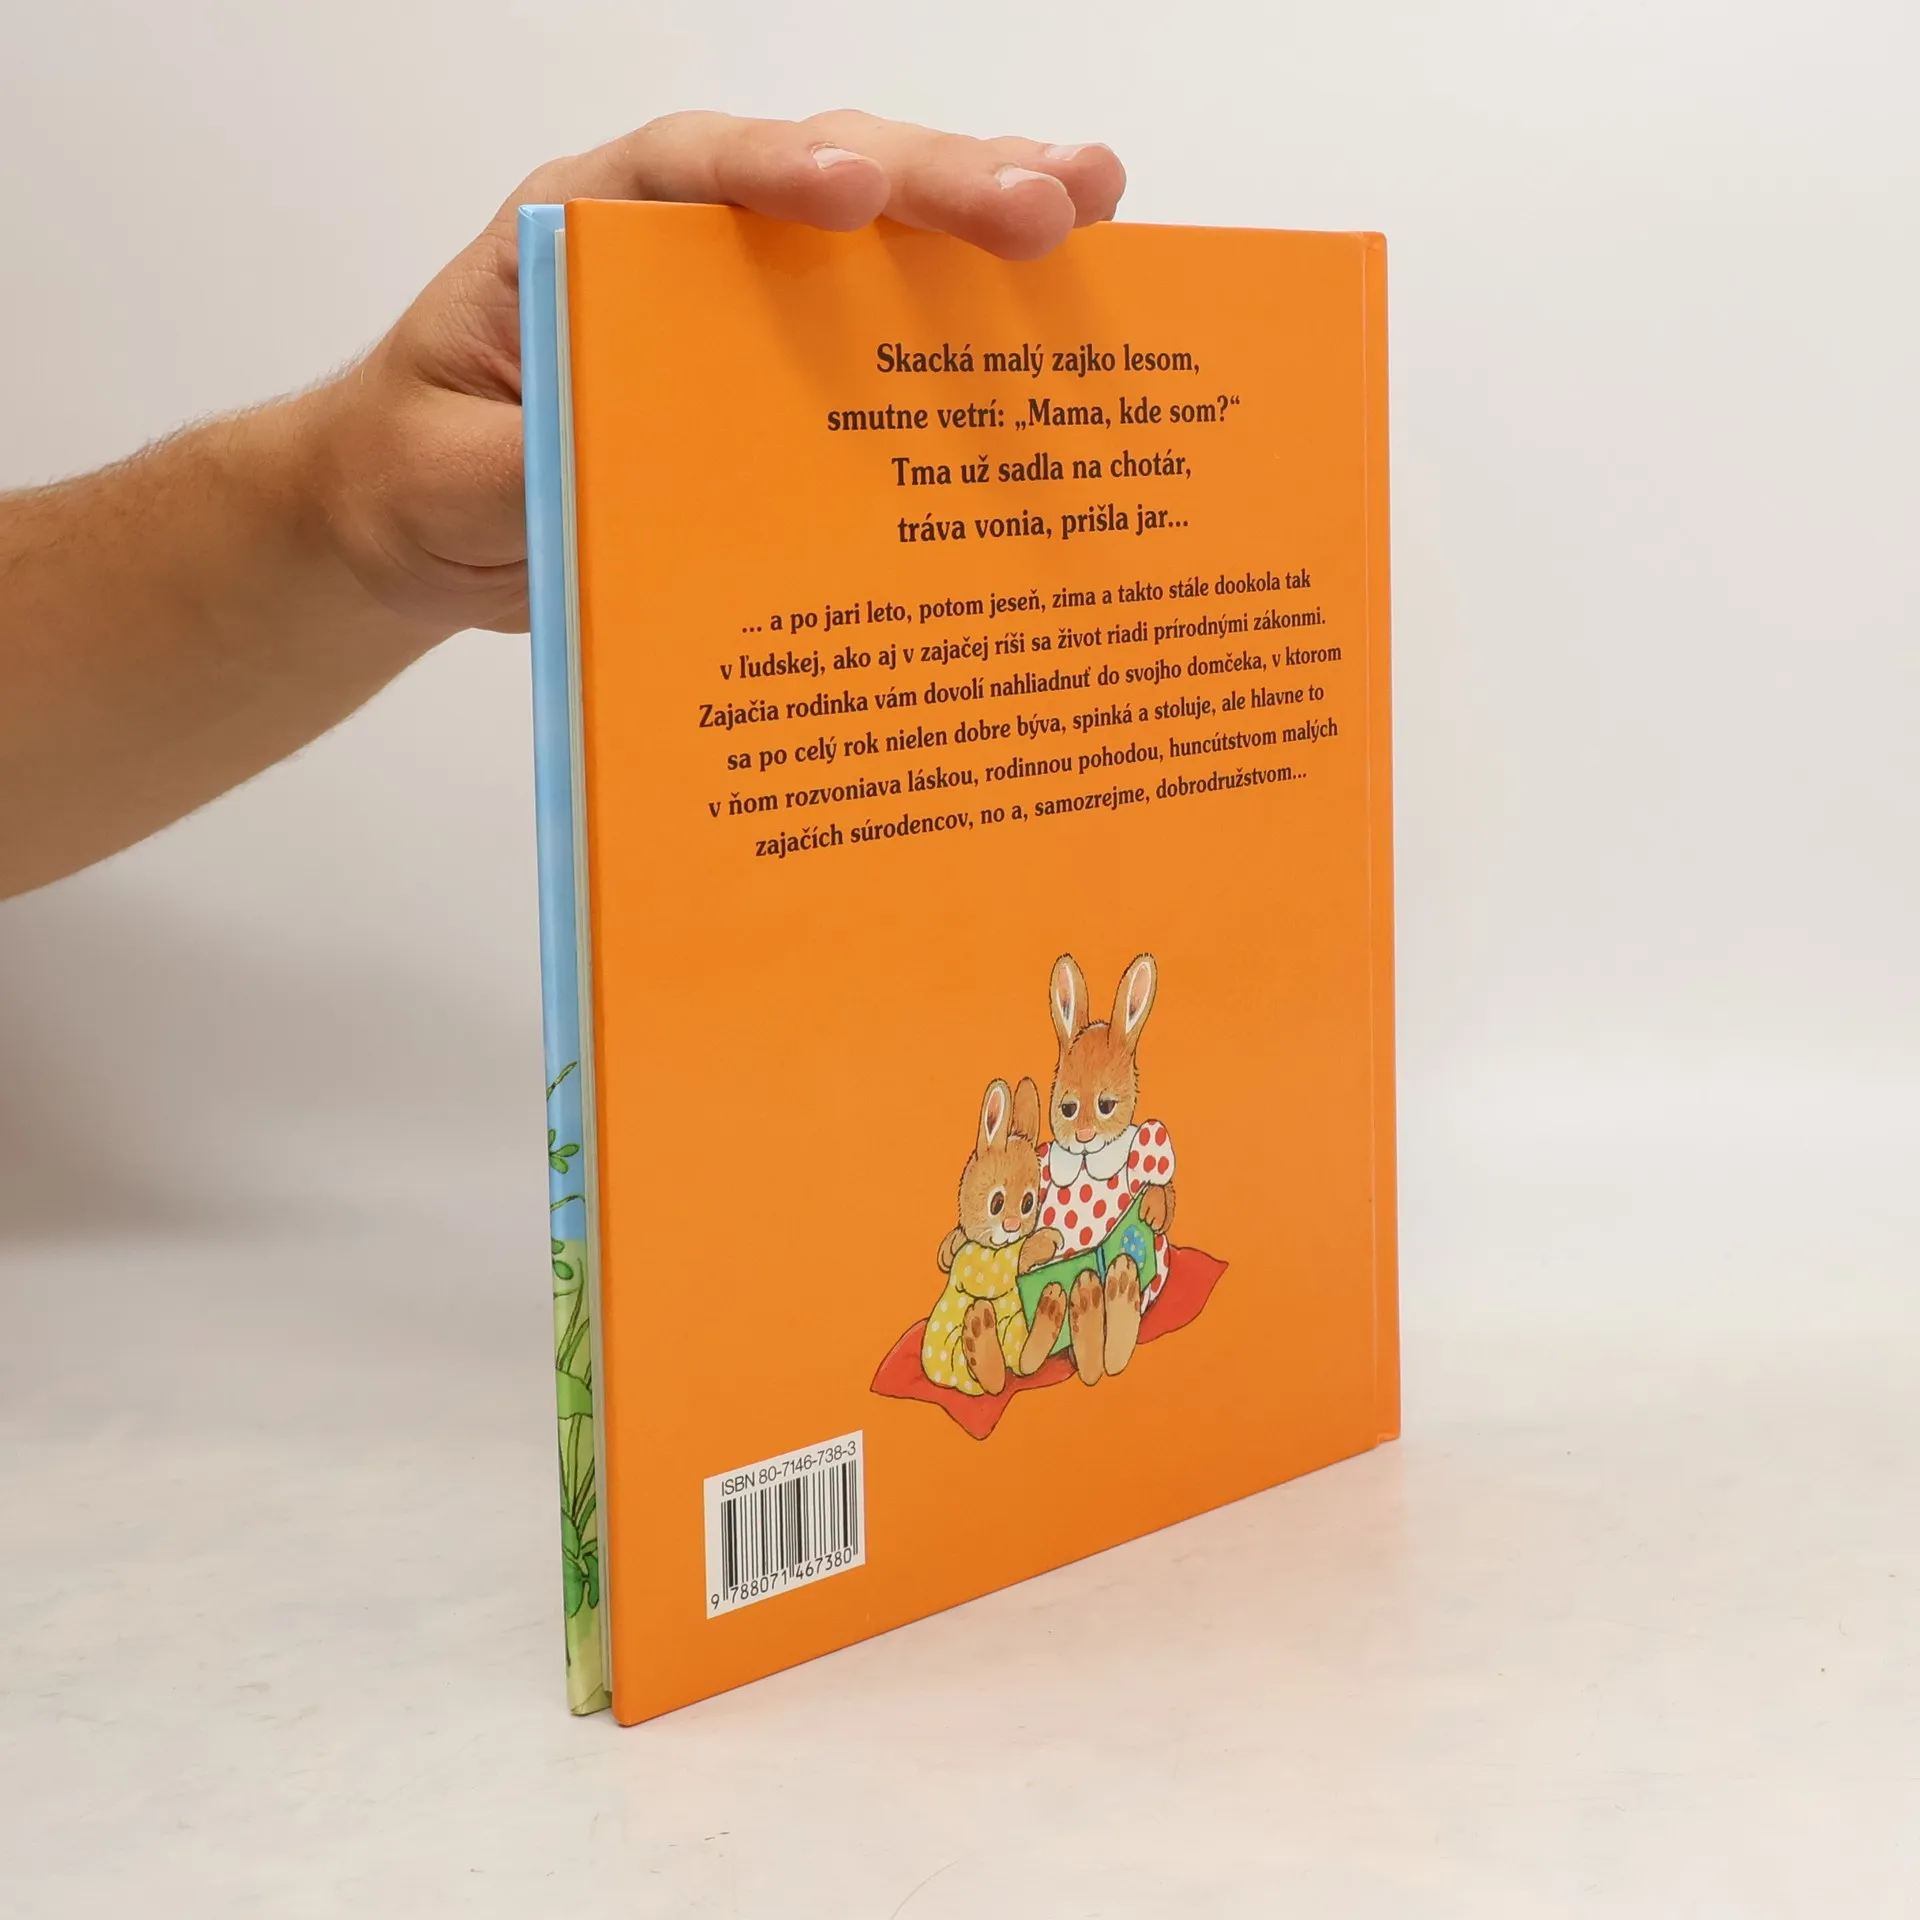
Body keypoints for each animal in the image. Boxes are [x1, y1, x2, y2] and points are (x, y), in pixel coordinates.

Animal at [923, 1076, 1067, 1396]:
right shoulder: (976, 1265)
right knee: (986, 1376)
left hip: (1015, 1326)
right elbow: (1001, 1266)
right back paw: (980, 1335)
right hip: (943, 1357)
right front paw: (1045, 1241)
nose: (1012, 1226)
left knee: (1021, 1361)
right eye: (997, 1202)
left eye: (1028, 1203)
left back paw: (1050, 1311)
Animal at [1041, 953, 1179, 1387]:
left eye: (1106, 1105)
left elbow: (1160, 1182)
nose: (1084, 1135)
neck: (1088, 1160)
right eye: (1067, 1108)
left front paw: (1151, 1207)